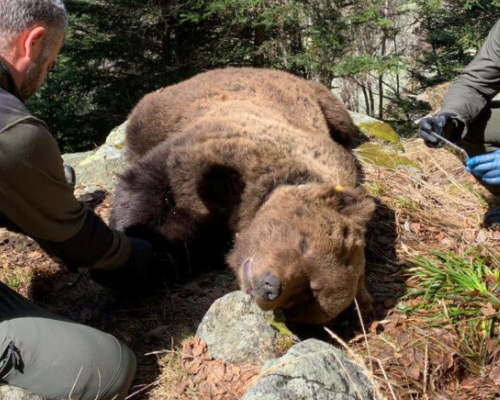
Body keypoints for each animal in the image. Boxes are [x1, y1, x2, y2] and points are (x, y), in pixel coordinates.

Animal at [110, 67, 376, 324]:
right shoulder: (220, 152)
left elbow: (182, 245)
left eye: (309, 293)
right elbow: (149, 182)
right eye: (304, 243)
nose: (270, 286)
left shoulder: (214, 233)